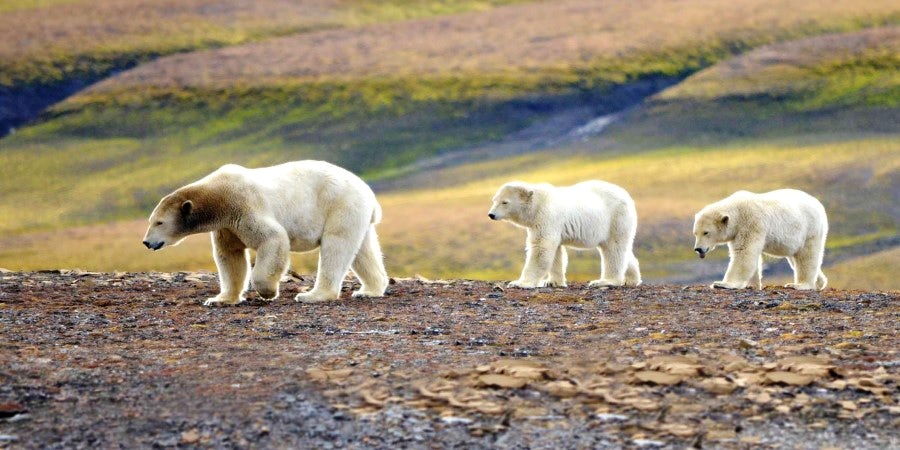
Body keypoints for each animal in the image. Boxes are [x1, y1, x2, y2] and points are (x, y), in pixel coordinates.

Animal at [142, 160, 388, 304]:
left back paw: (312, 295)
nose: (146, 242)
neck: (218, 195)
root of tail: (368, 192)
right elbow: (229, 257)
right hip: (356, 214)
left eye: (159, 223)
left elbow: (273, 239)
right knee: (363, 250)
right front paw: (220, 299)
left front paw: (268, 291)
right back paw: (369, 290)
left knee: (336, 247)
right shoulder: (228, 226)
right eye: (150, 220)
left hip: (340, 204)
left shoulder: (244, 205)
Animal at [488, 182, 644, 290]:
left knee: (613, 249)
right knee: (623, 250)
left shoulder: (546, 217)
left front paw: (520, 283)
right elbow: (555, 251)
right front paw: (552, 282)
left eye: (505, 202)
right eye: (494, 200)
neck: (538, 203)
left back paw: (604, 281)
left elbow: (541, 247)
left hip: (615, 218)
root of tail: (627, 196)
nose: (491, 214)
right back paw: (631, 280)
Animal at [696, 188, 828, 290]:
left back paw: (800, 285)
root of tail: (819, 205)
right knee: (796, 258)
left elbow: (744, 253)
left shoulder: (751, 223)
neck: (738, 210)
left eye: (706, 232)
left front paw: (722, 283)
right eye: (695, 233)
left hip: (809, 230)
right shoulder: (738, 232)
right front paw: (752, 285)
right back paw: (819, 283)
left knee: (807, 256)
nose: (698, 249)